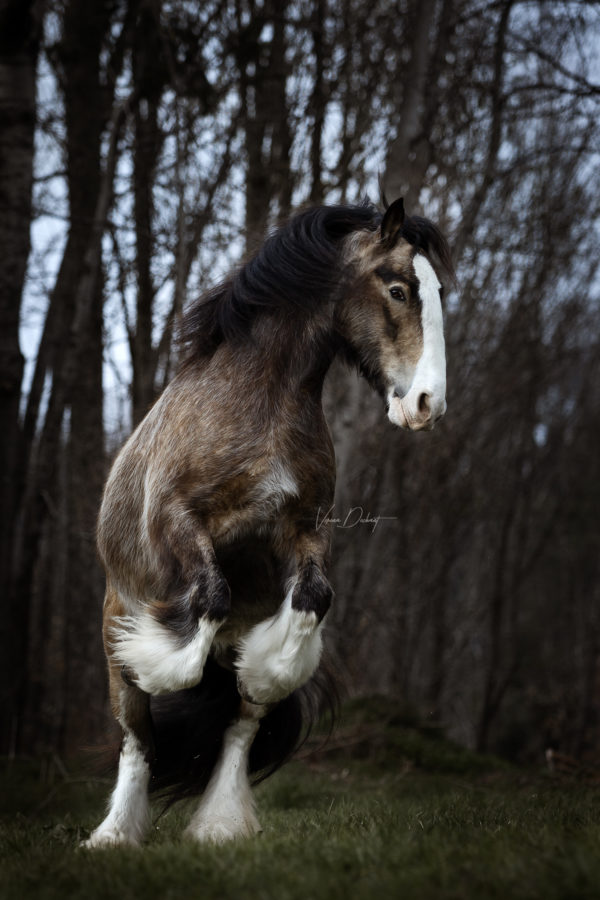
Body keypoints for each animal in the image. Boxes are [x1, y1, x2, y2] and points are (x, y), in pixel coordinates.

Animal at [84, 199, 450, 852]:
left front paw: (267, 663)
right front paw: (162, 659)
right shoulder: (177, 519)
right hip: (112, 624)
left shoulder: (302, 532)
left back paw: (220, 825)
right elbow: (206, 601)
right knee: (137, 735)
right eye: (399, 289)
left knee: (238, 725)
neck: (263, 401)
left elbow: (309, 603)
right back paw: (115, 834)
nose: (427, 404)